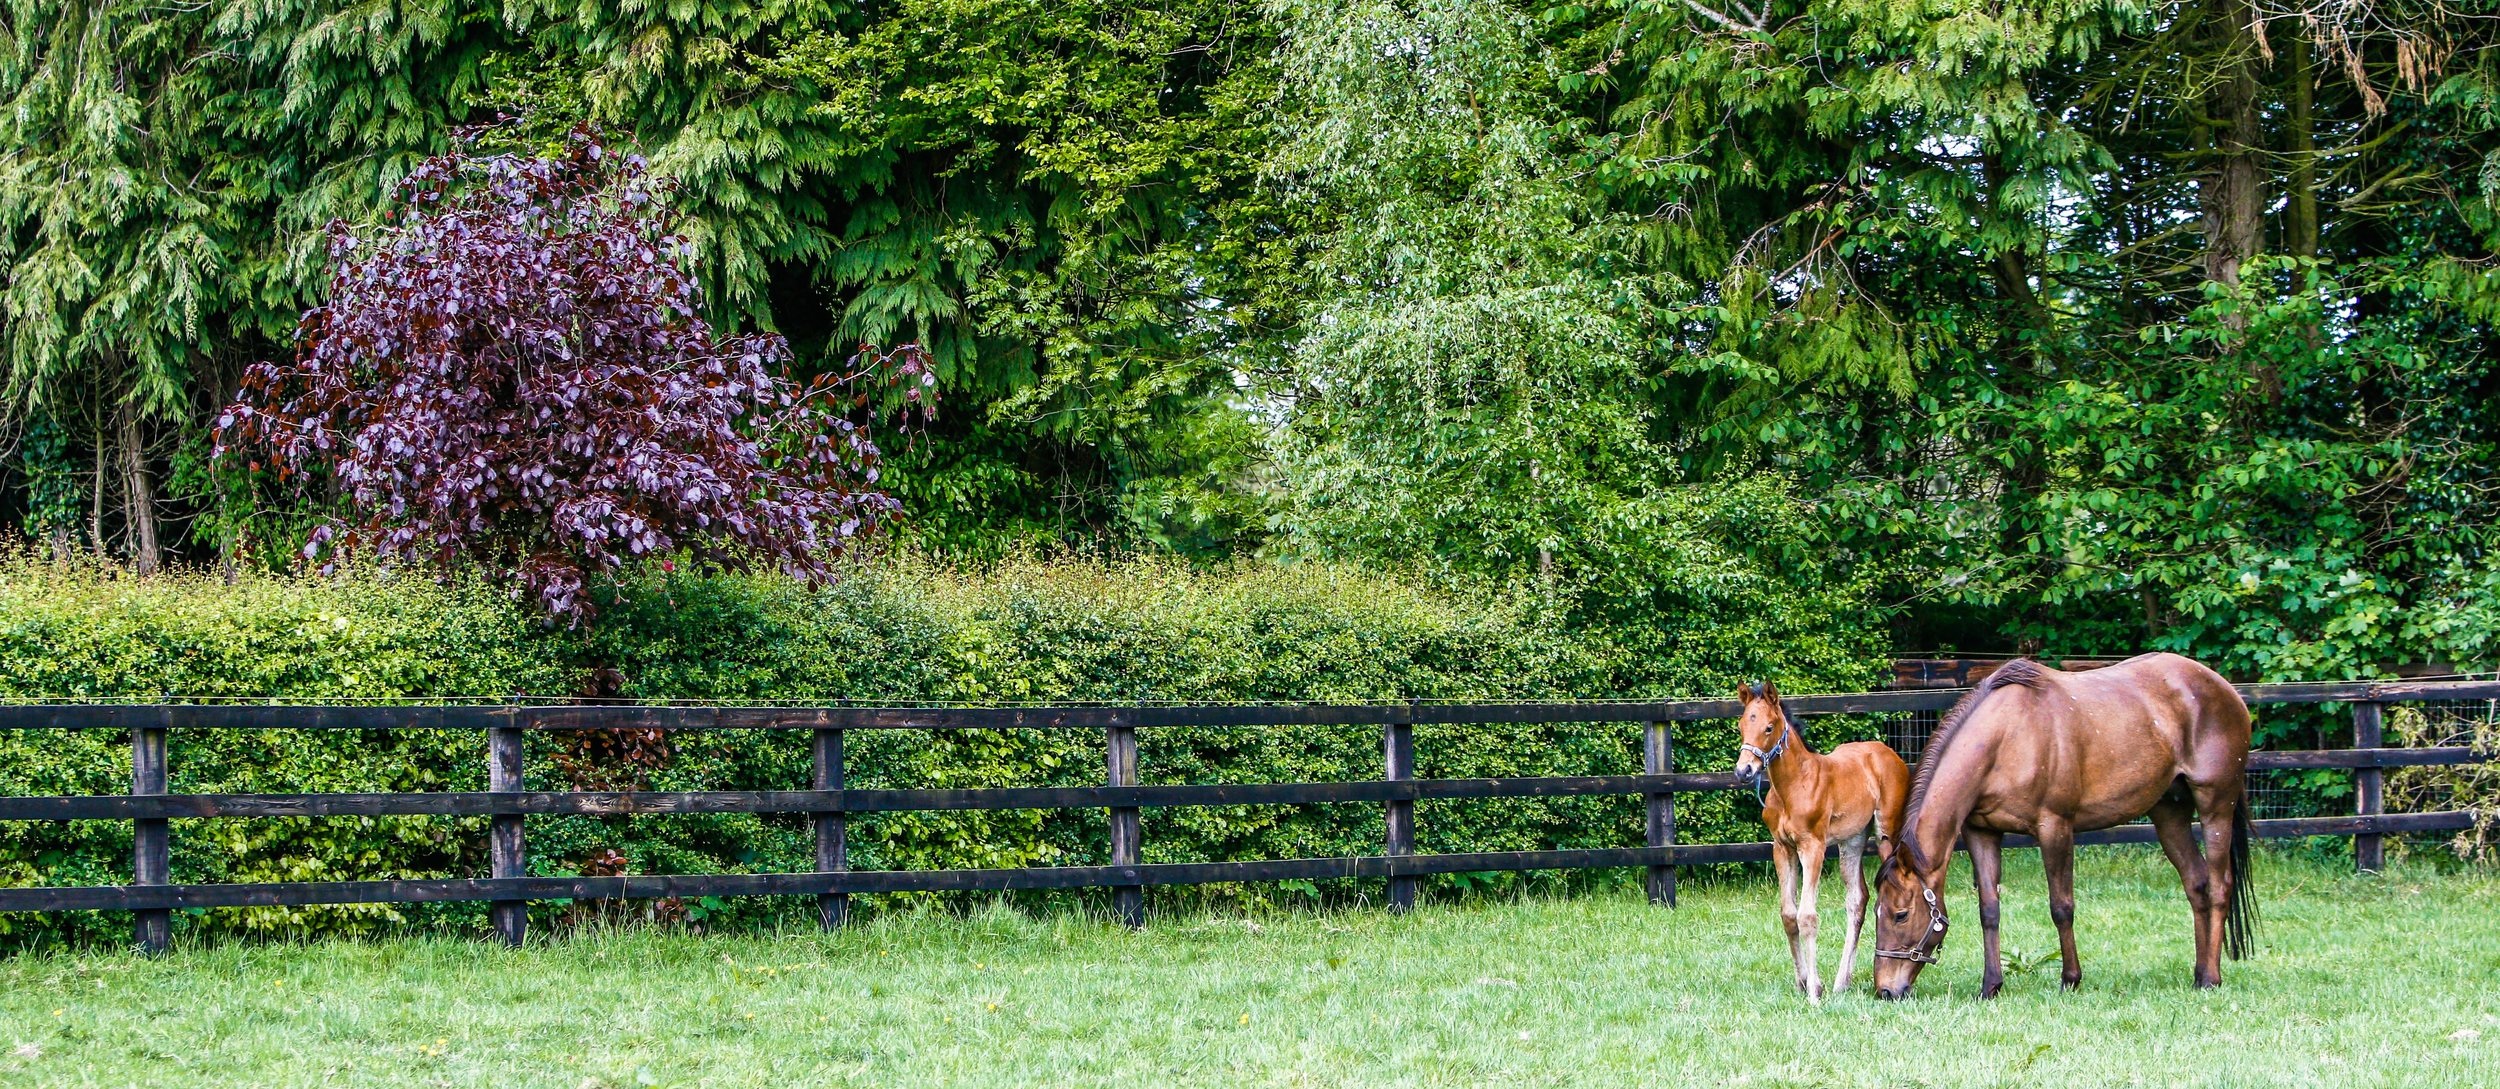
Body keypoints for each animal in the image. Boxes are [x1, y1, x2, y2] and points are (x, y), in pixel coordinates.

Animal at [1740, 679, 1910, 1004]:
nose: (1744, 770)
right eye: (1741, 725)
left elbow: (1807, 915)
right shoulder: (1782, 848)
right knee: (1857, 899)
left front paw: (1815, 992)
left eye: (1769, 727)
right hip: (1852, 841)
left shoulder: (1813, 846)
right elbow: (1788, 915)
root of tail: (1886, 751)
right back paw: (1842, 982)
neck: (1793, 785)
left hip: (1887, 833)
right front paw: (1803, 982)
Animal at [1870, 649, 2260, 999]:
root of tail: (2224, 689)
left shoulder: (2054, 827)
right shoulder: (1982, 832)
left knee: (2219, 886)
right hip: (2169, 813)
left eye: (1901, 915)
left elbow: (2061, 907)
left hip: (2215, 806)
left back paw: (2211, 978)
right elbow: (1989, 909)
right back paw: (2199, 974)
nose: (1886, 990)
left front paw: (2070, 979)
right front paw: (1990, 986)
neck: (2006, 738)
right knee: (2196, 883)